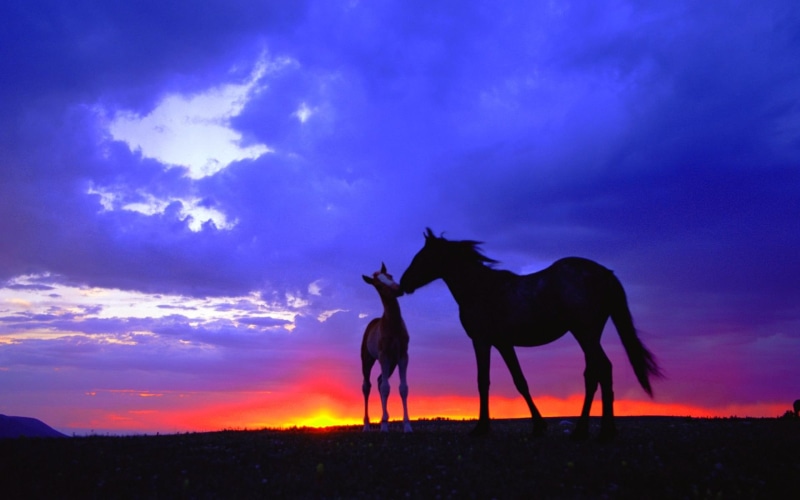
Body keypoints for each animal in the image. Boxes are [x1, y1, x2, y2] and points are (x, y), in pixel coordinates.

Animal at [361, 263, 413, 432]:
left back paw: (385, 418)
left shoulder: (403, 356)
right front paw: (383, 427)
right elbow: (385, 388)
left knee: (379, 381)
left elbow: (403, 388)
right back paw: (367, 425)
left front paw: (407, 425)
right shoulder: (383, 356)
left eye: (390, 276)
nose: (398, 289)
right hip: (368, 359)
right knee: (367, 386)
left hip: (392, 363)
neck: (393, 325)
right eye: (378, 285)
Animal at [400, 229, 662, 441]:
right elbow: (520, 382)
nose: (403, 283)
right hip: (590, 335)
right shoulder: (503, 344)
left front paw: (481, 428)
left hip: (585, 334)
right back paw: (591, 430)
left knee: (602, 370)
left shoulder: (482, 341)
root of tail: (605, 273)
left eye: (422, 257)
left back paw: (597, 431)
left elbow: (483, 381)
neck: (481, 289)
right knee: (594, 374)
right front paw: (538, 425)